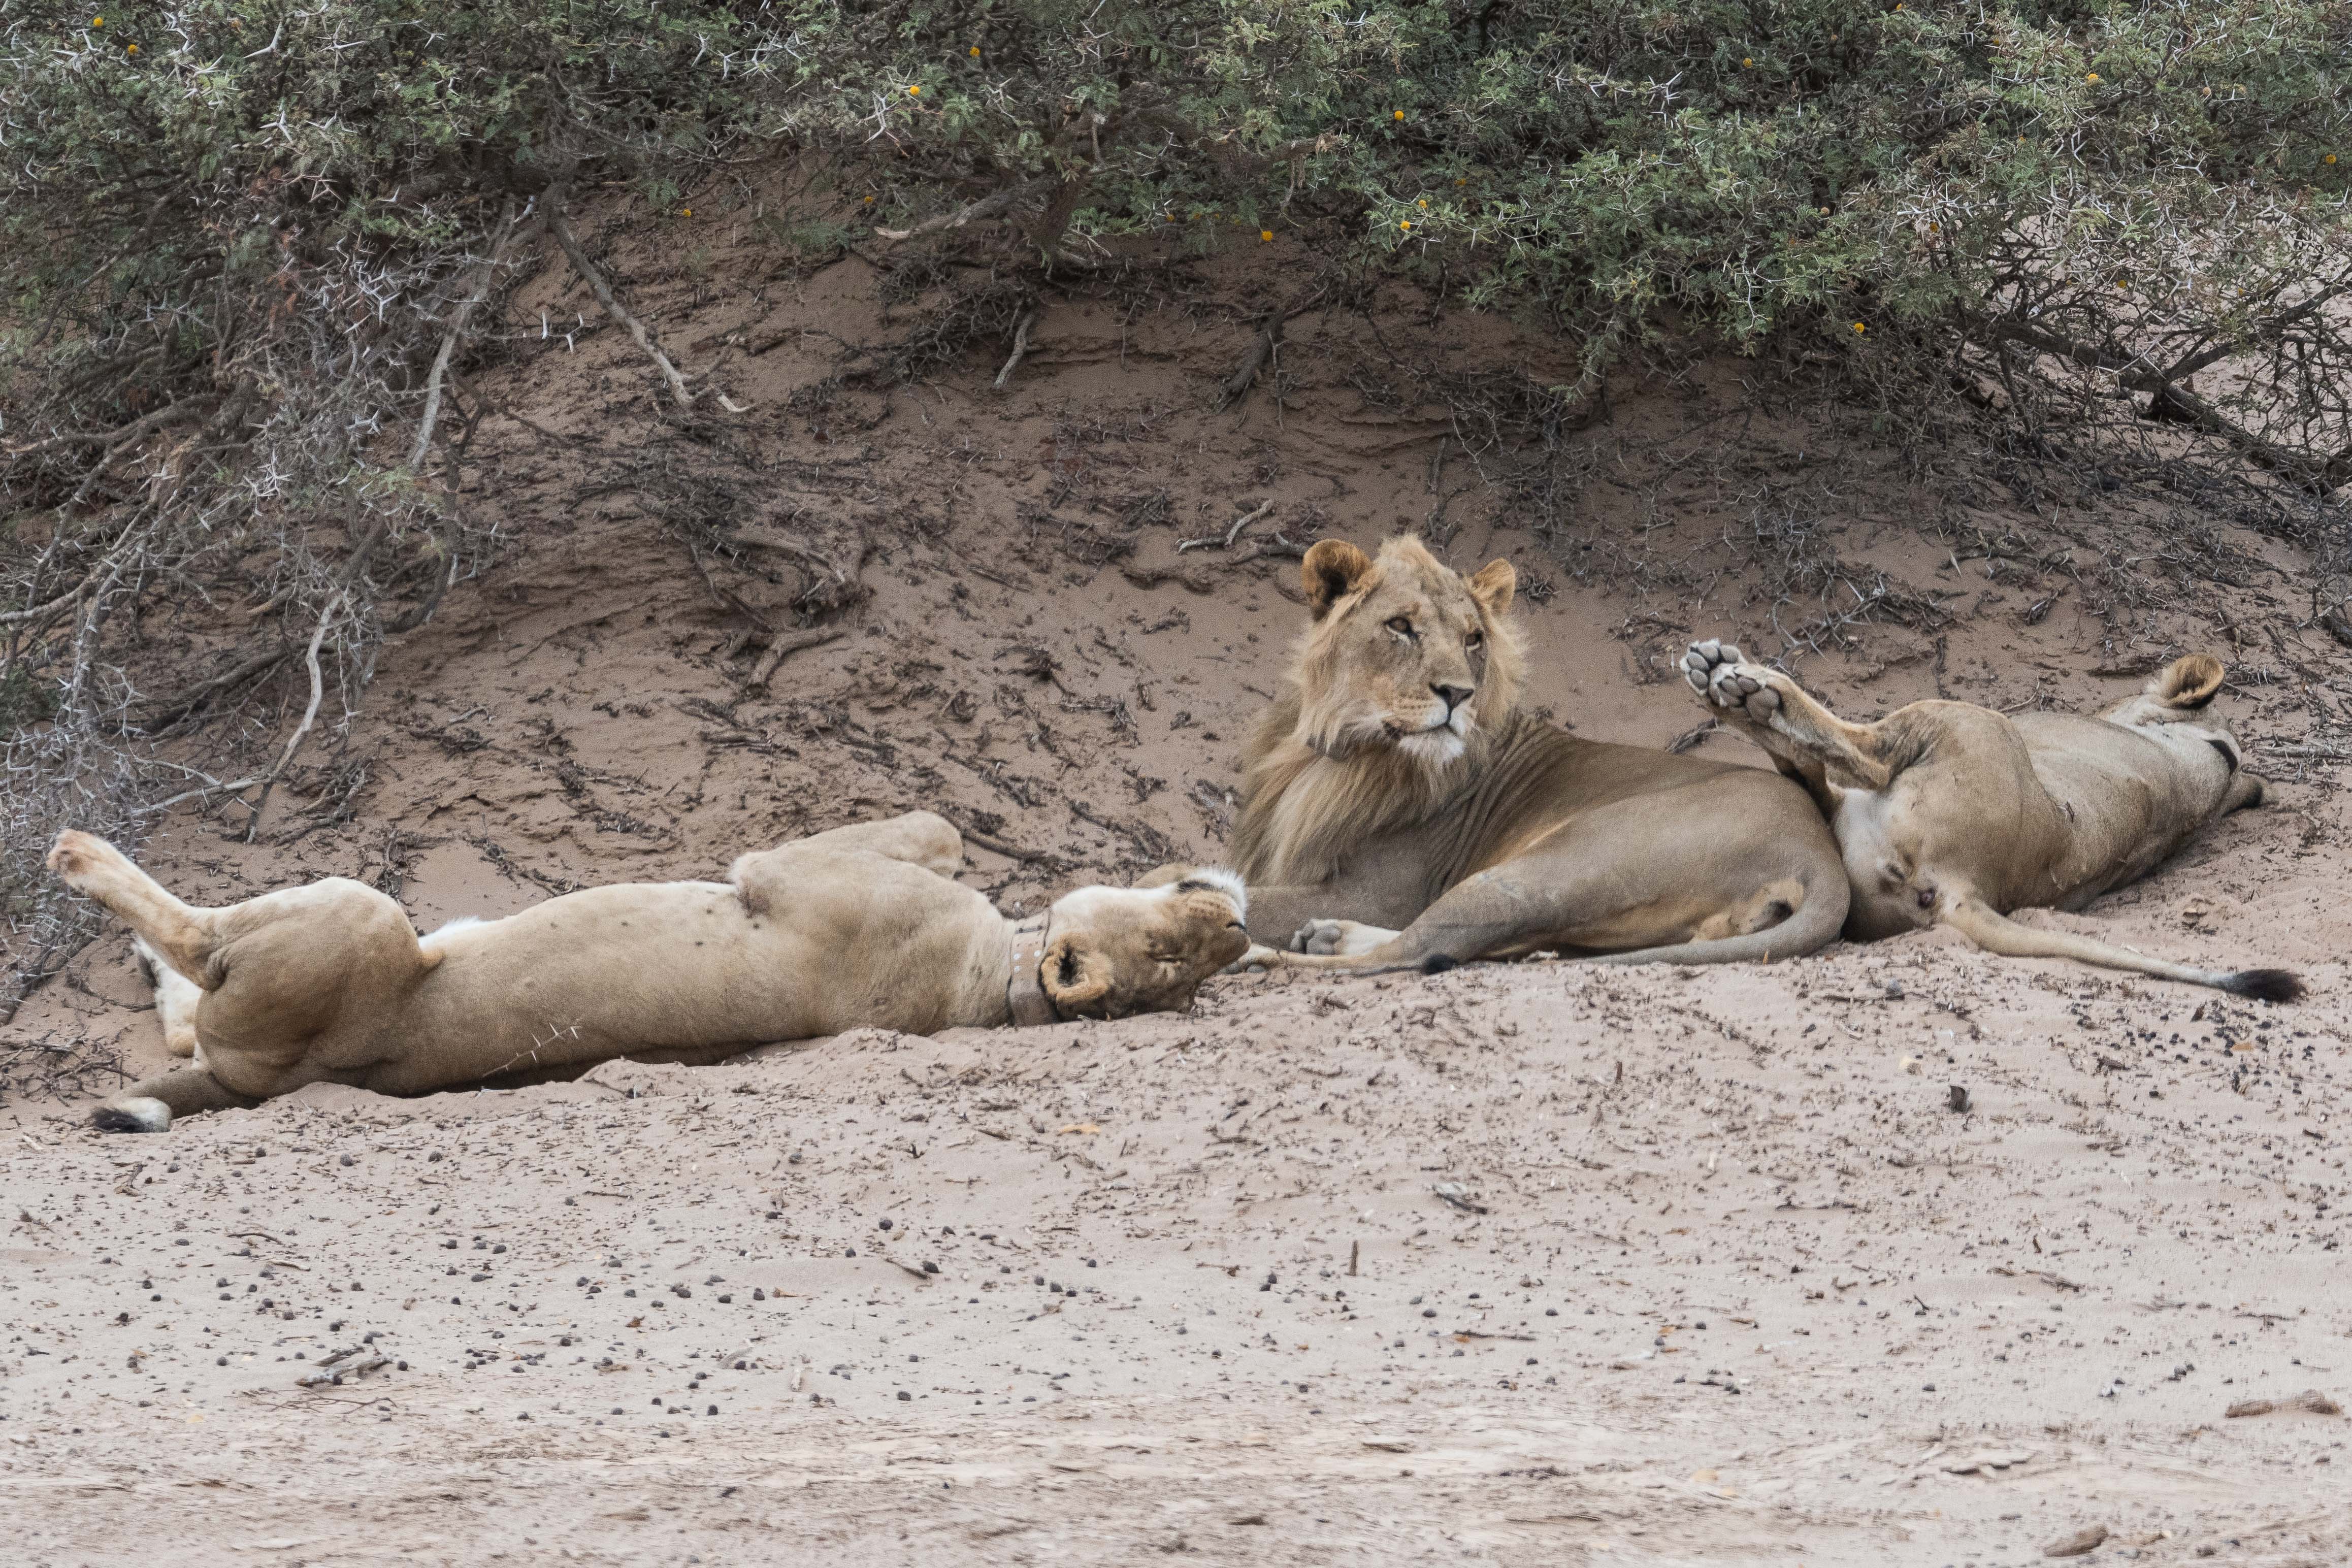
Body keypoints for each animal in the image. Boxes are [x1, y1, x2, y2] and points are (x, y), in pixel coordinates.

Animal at [1214, 545, 1853, 973]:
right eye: (1401, 627)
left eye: (1474, 638)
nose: (1458, 694)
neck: (1334, 749)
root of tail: (1816, 847)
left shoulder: (1382, 890)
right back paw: (1321, 937)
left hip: (1547, 867)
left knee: (1418, 948)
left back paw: (1266, 952)